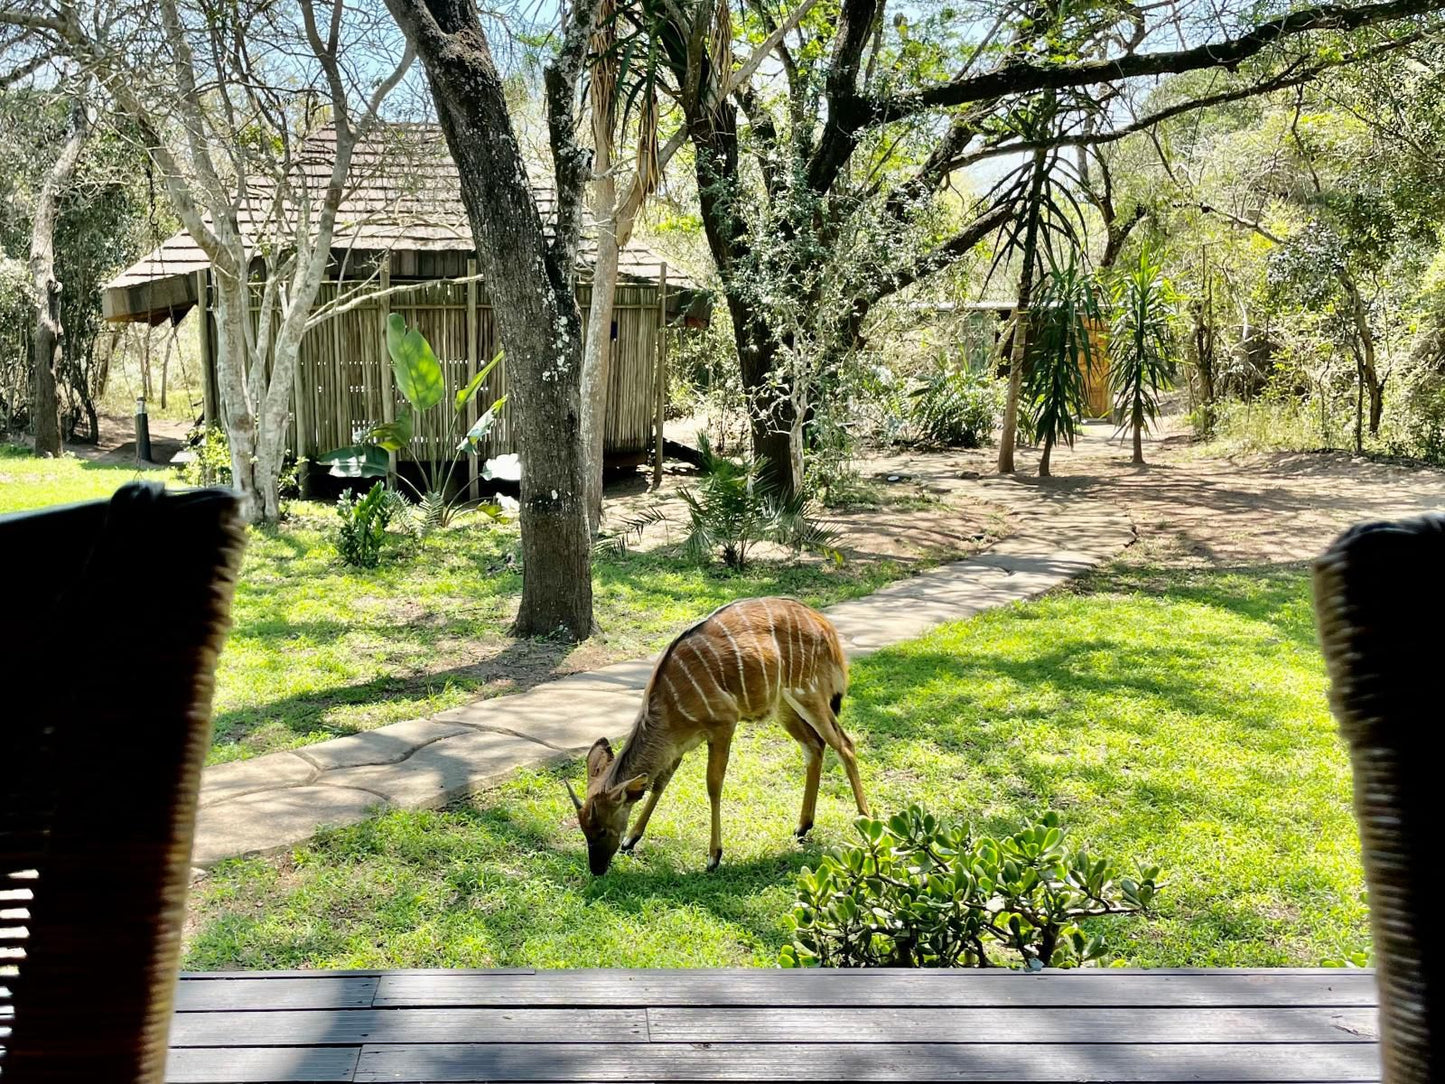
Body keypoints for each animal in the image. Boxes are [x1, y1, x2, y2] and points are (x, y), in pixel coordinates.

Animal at [563, 598, 867, 878]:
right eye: (585, 830)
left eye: (602, 830)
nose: (596, 869)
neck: (668, 704)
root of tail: (826, 628)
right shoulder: (679, 744)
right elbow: (661, 782)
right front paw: (631, 839)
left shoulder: (723, 725)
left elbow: (713, 784)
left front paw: (713, 857)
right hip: (783, 705)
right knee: (814, 746)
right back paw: (803, 826)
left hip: (809, 695)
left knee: (844, 745)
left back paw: (865, 822)